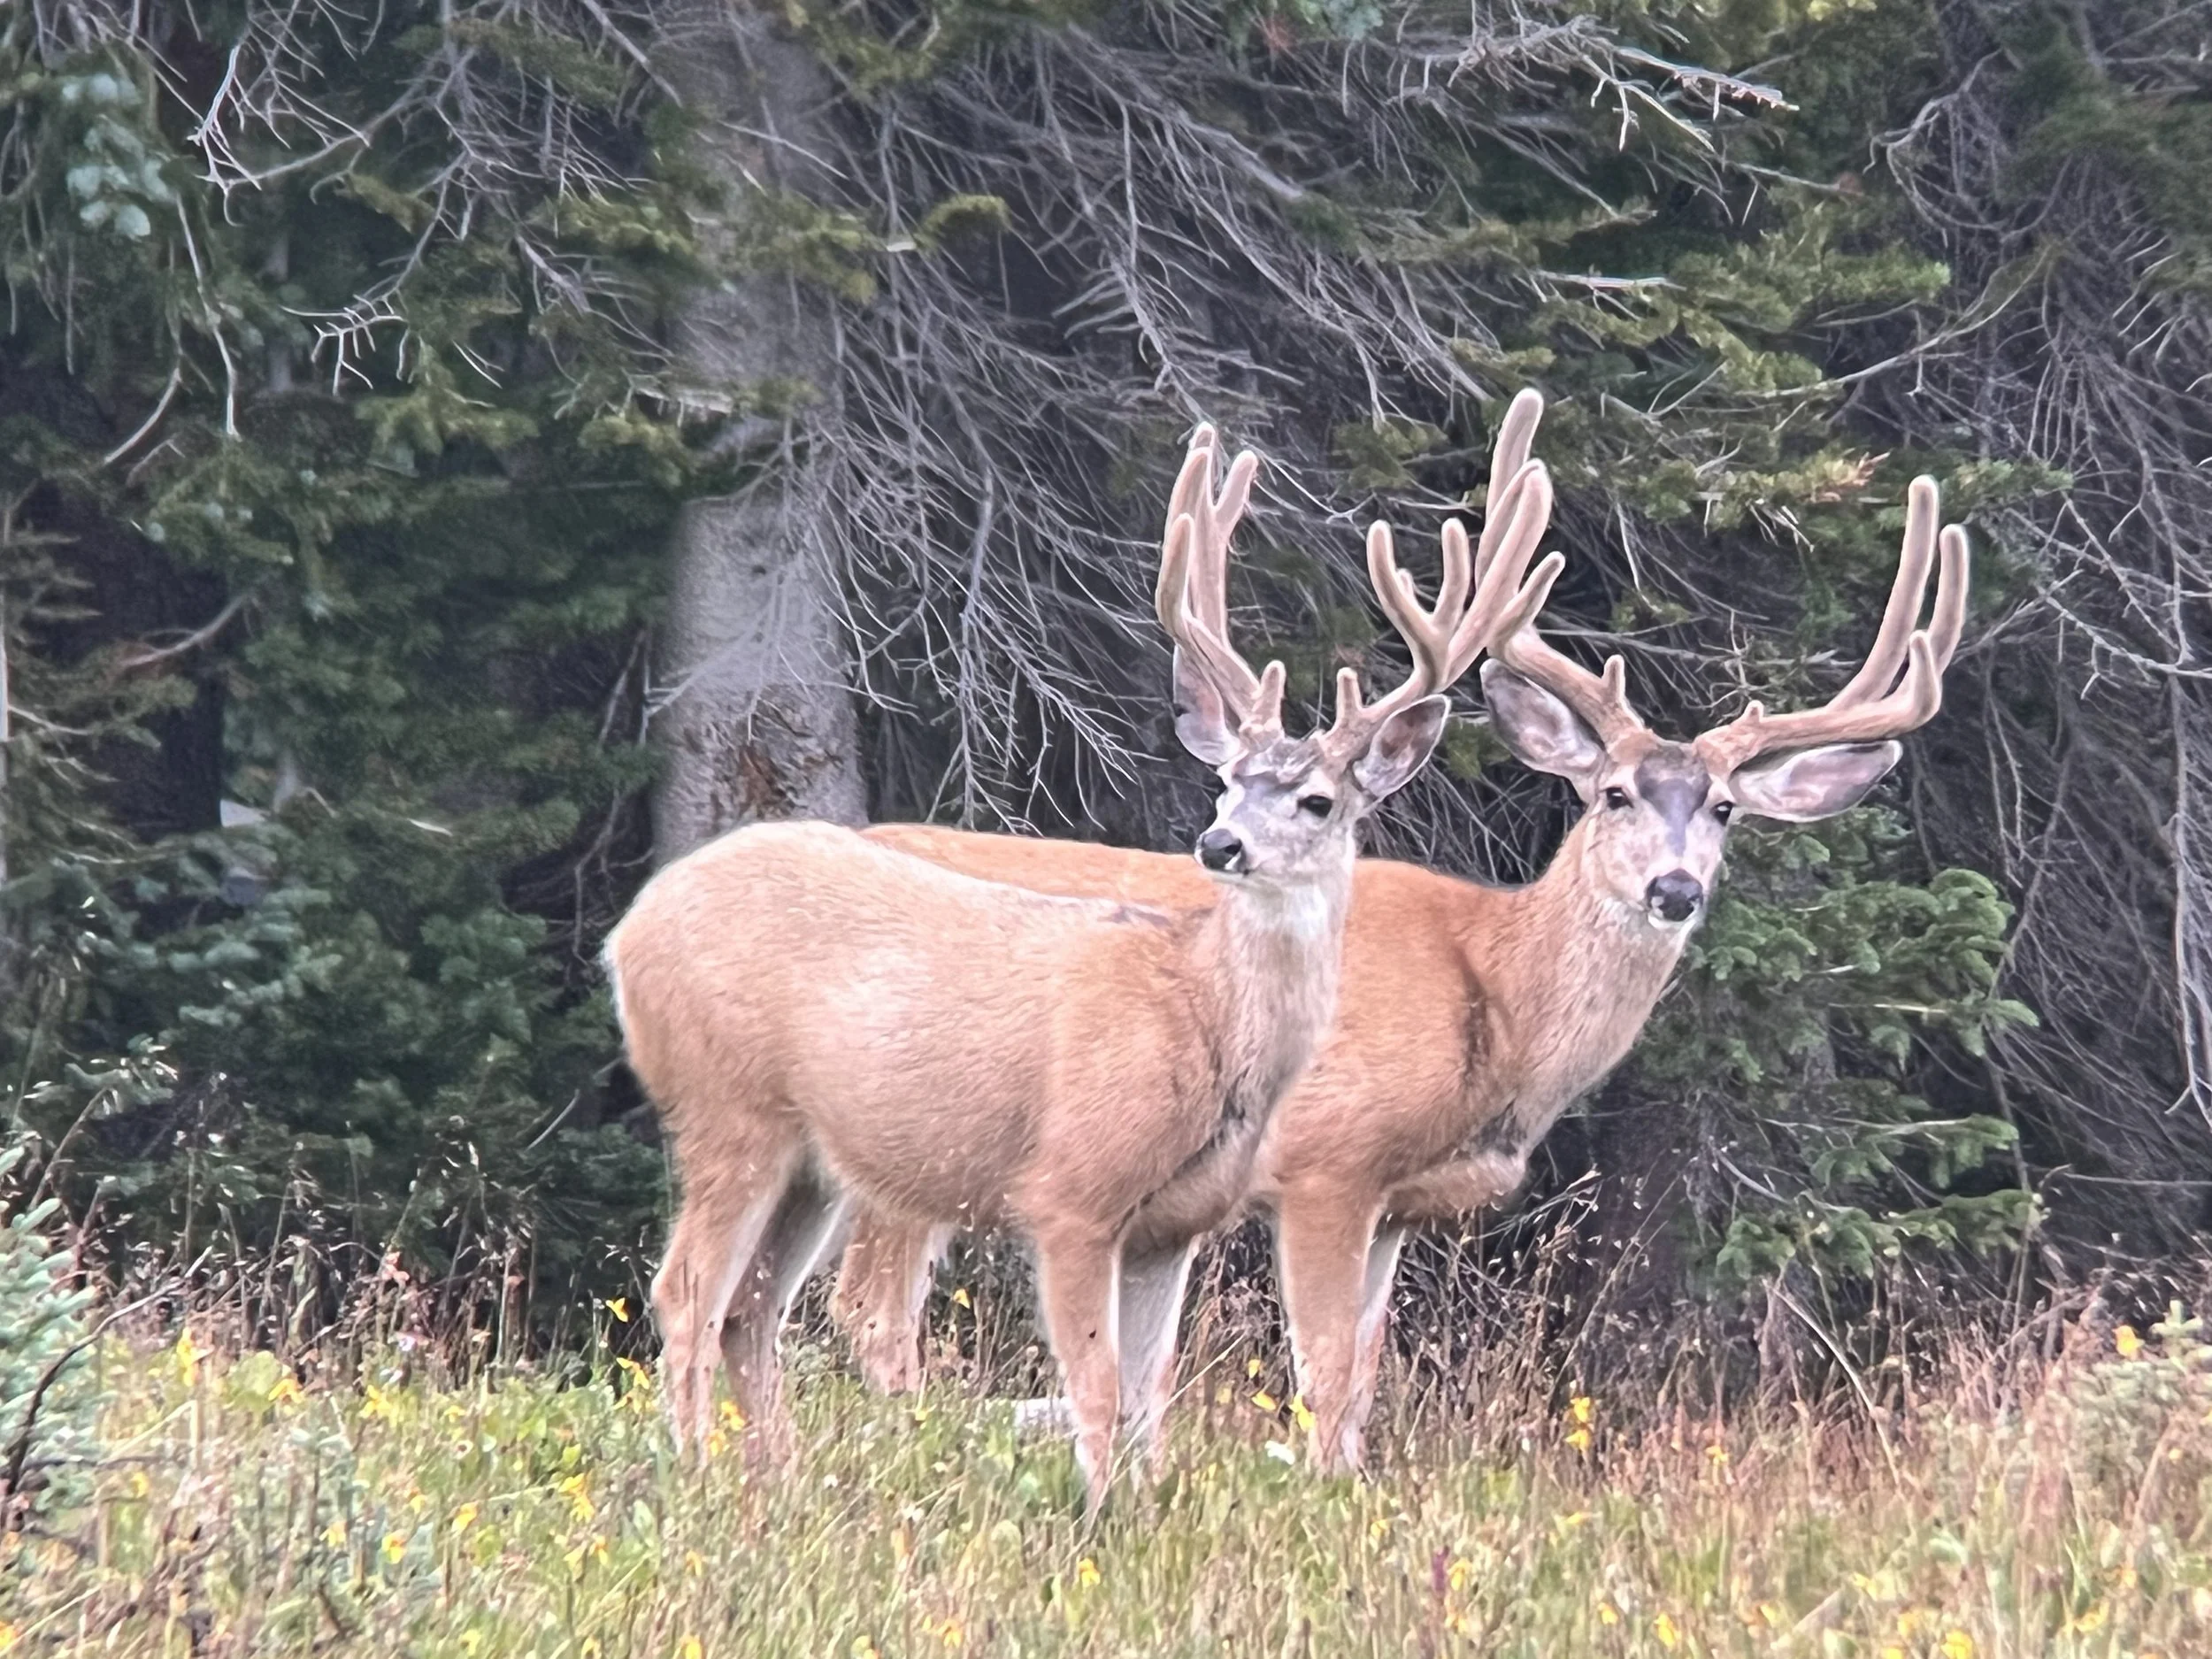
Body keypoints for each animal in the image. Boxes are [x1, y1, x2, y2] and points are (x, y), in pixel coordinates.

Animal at [603, 412, 1564, 1509]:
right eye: (1227, 783)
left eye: (1317, 800)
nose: (1219, 845)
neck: (1204, 1022)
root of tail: (627, 933)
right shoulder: (1071, 1191)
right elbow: (1097, 1387)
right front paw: (1099, 1515)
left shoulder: (1172, 1224)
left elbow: (1150, 1390)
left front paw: (1141, 1512)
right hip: (729, 1106)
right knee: (685, 1294)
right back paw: (698, 1475)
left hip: (809, 1156)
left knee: (748, 1310)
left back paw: (784, 1483)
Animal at [829, 420, 1969, 1476]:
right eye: (1612, 793)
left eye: (1726, 808)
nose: (1675, 889)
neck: (1495, 1000)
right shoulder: (1329, 1162)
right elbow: (1327, 1373)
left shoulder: (1396, 1208)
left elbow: (1365, 1378)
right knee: (873, 1311)